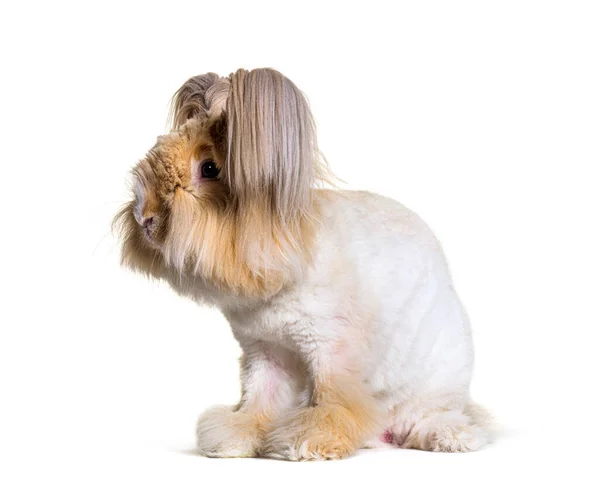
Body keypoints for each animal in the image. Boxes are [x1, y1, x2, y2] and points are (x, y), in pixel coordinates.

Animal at [115, 68, 494, 462]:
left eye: (209, 168)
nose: (145, 218)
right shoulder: (264, 351)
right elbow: (259, 397)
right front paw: (232, 438)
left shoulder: (330, 348)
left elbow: (333, 399)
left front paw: (309, 441)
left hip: (434, 387)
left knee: (437, 420)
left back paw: (451, 437)